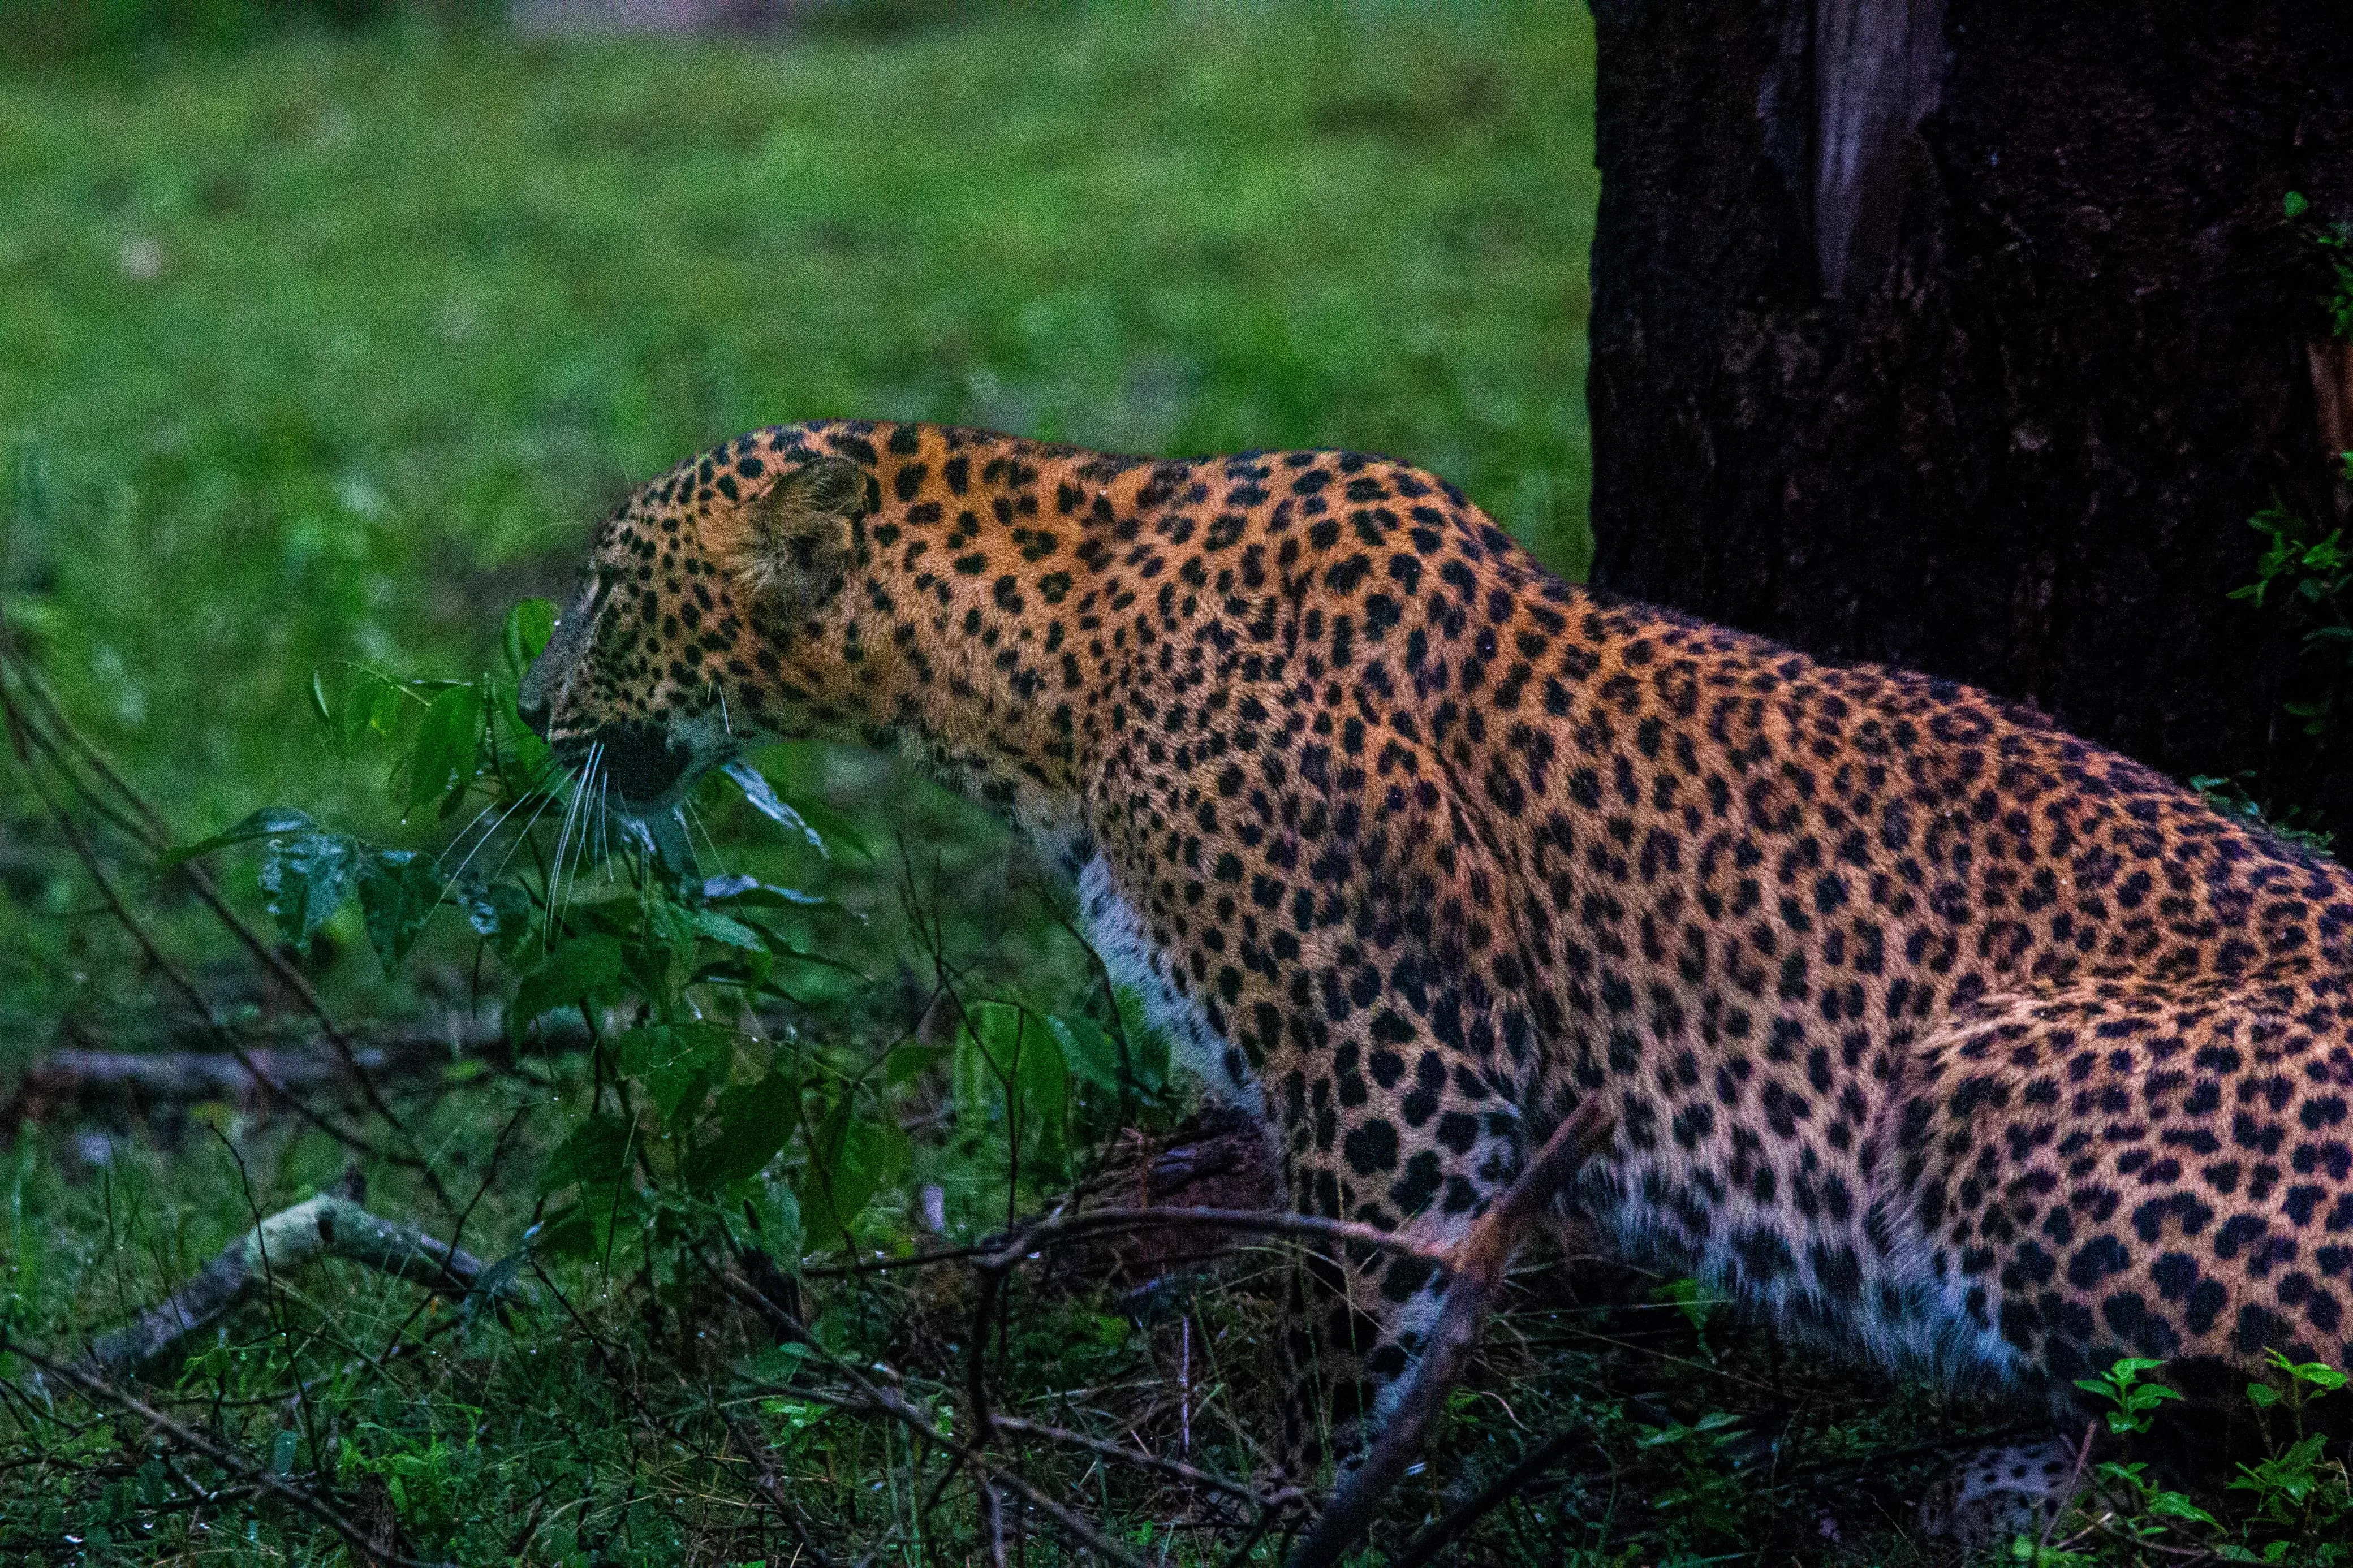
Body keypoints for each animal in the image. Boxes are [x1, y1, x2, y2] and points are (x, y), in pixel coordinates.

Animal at [518, 419, 2353, 1538]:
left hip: (1986, 1088)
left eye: (602, 591)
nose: (530, 716)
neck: (1061, 667)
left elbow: (1344, 1348)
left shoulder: (1398, 1075)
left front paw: (1280, 1523)